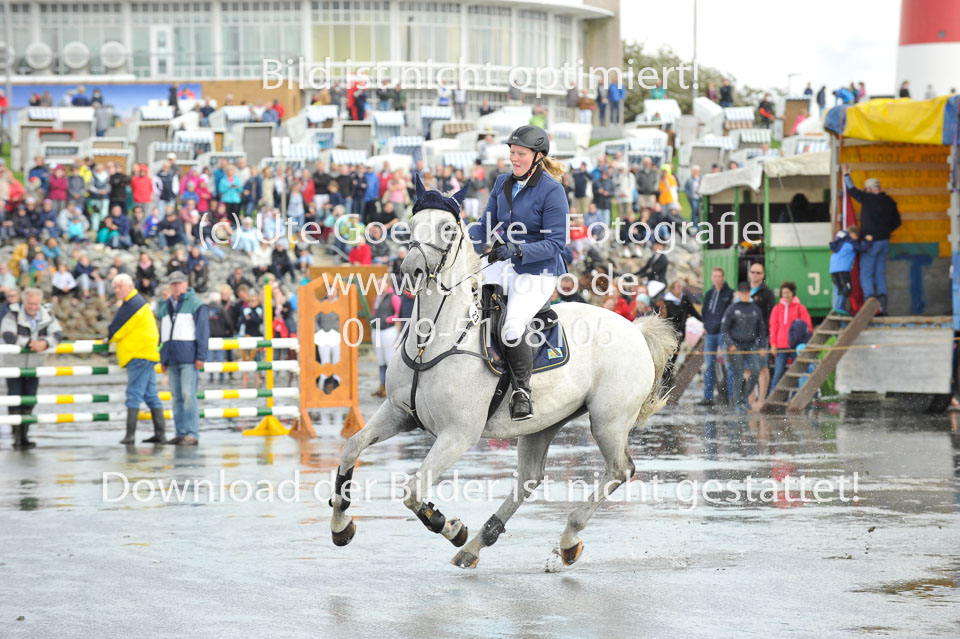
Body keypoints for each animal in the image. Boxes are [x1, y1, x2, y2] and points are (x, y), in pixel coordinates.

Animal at [328, 201, 676, 568]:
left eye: (447, 229)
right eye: (411, 224)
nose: (412, 270)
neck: (433, 339)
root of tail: (634, 329)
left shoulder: (457, 435)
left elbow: (413, 492)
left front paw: (450, 527)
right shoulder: (399, 412)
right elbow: (352, 446)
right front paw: (340, 525)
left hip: (608, 421)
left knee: (620, 470)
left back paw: (566, 538)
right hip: (544, 424)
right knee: (529, 479)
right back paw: (477, 545)